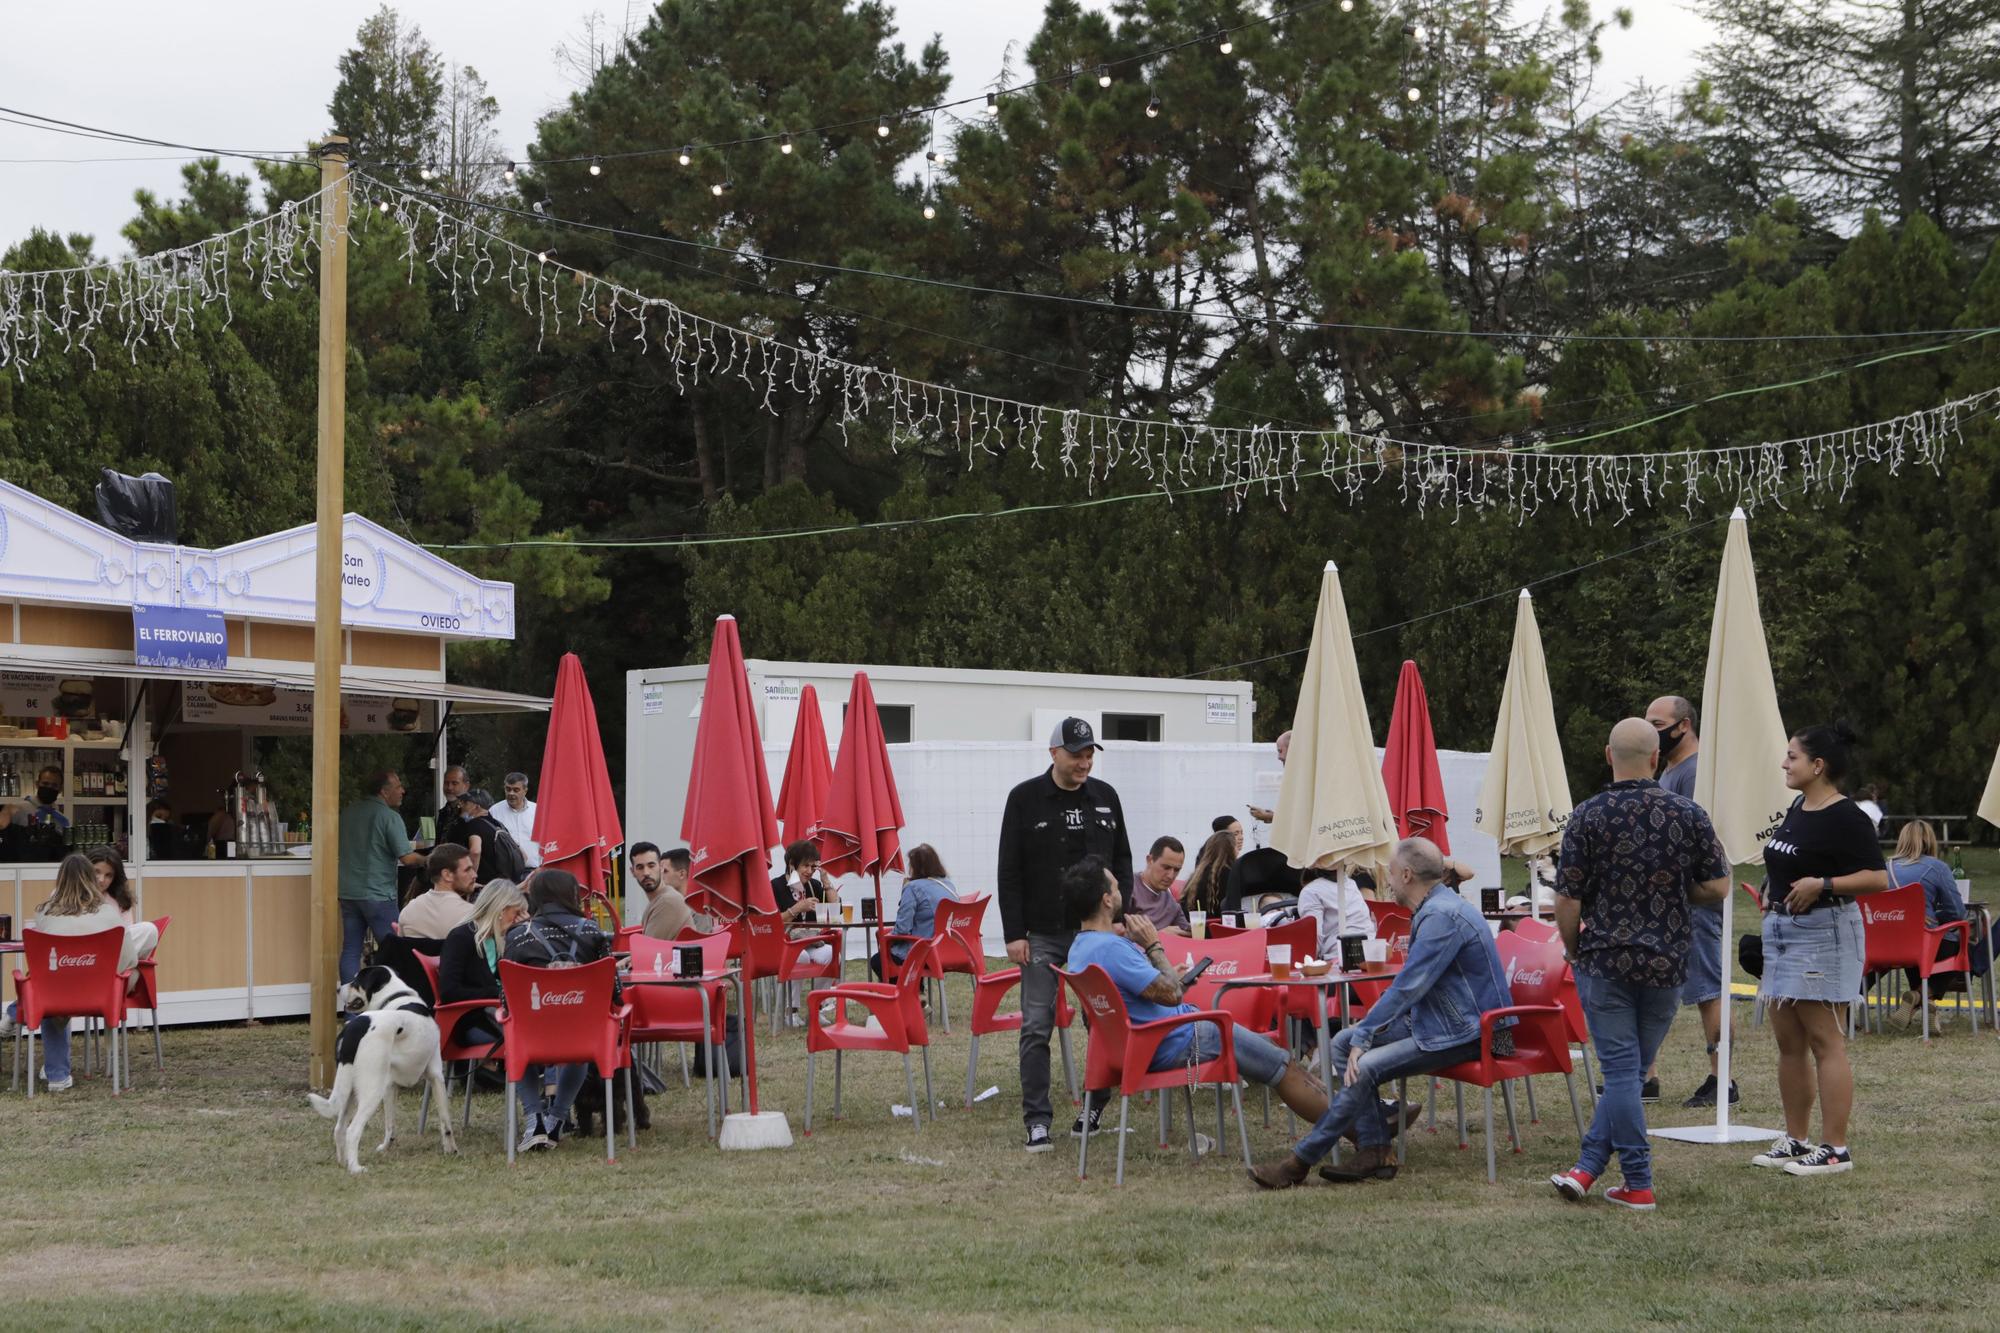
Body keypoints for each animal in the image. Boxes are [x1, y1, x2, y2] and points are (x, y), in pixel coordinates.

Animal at [304, 960, 458, 1168]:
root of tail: (355, 1026)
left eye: (356, 981)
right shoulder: (436, 1076)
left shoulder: (390, 1085)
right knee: (353, 1130)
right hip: (372, 1091)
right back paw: (356, 1168)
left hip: (350, 1090)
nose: (337, 989)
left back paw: (343, 1163)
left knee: (339, 1128)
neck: (395, 996)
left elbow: (390, 1124)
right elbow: (446, 1122)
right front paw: (451, 1150)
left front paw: (386, 1147)